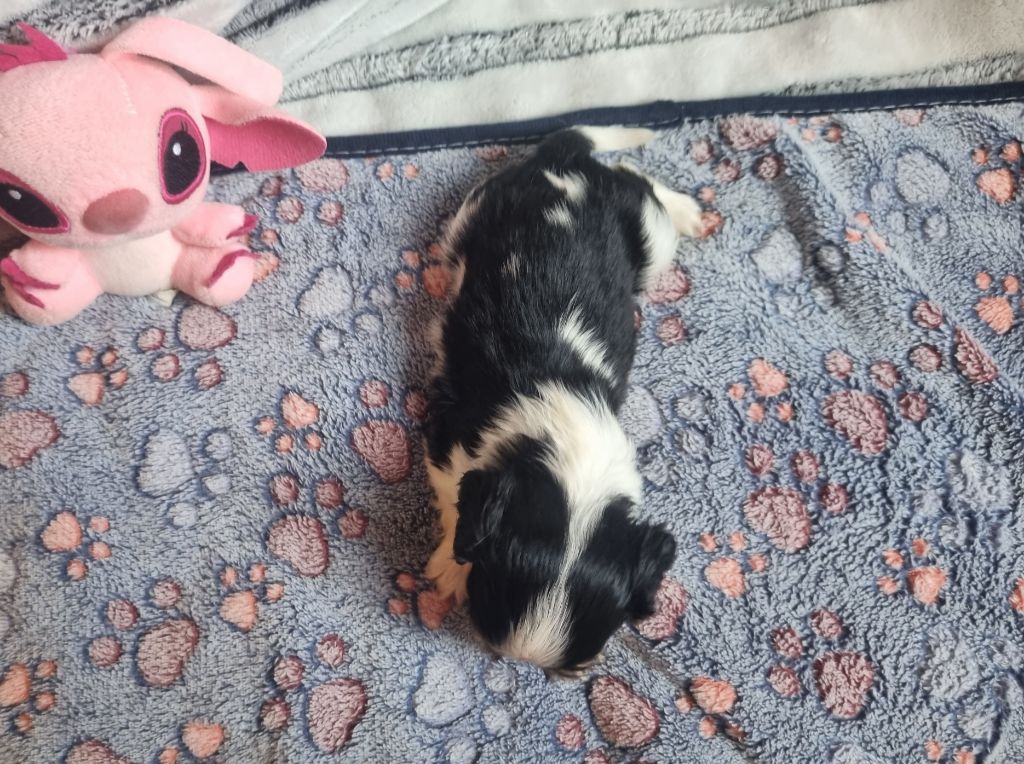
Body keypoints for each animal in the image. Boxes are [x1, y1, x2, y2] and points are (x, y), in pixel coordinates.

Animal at [424, 126, 702, 674]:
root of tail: (568, 168)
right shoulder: (447, 428)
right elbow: (453, 496)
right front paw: (449, 565)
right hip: (474, 211)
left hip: (648, 242)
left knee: (641, 188)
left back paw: (685, 209)